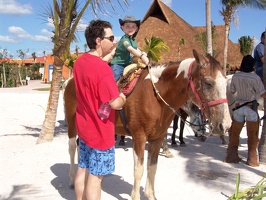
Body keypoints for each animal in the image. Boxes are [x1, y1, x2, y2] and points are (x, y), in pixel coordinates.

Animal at [64, 49, 231, 198]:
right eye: (208, 83)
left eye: (226, 82)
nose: (226, 124)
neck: (156, 96)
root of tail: (69, 81)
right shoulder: (139, 137)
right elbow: (139, 170)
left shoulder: (157, 138)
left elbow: (152, 167)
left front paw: (150, 195)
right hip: (72, 124)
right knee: (72, 147)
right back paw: (71, 179)